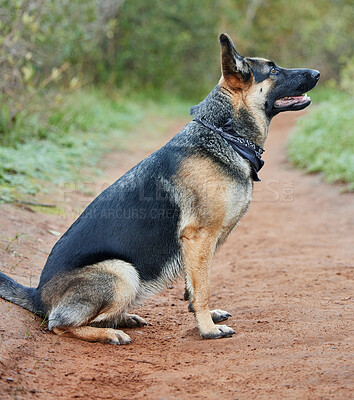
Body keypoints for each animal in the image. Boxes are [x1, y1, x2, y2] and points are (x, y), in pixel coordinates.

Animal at [0, 34, 320, 344]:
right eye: (274, 70)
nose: (317, 73)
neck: (224, 133)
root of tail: (38, 295)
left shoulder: (196, 245)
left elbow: (193, 288)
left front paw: (205, 317)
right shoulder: (199, 238)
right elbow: (203, 289)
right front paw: (208, 329)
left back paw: (123, 319)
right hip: (122, 271)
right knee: (59, 325)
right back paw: (109, 333)